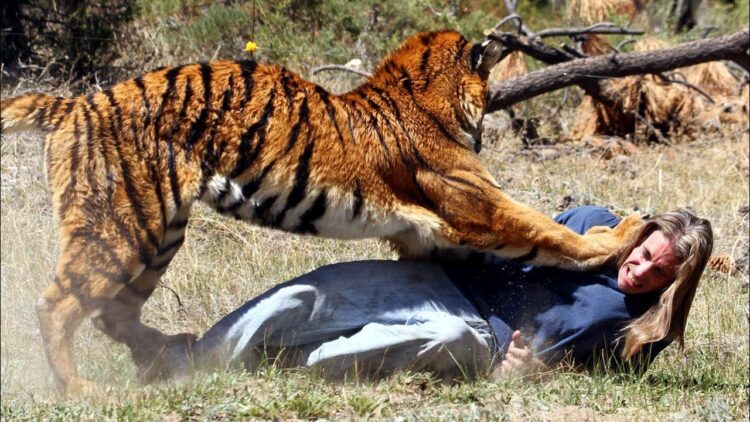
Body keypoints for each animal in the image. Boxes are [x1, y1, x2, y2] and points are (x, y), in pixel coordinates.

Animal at [0, 30, 643, 396]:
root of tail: (73, 104)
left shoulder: (430, 234)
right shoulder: (477, 206)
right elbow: (548, 231)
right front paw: (622, 233)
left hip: (158, 235)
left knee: (113, 313)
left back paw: (165, 352)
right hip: (123, 225)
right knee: (58, 306)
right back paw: (79, 388)